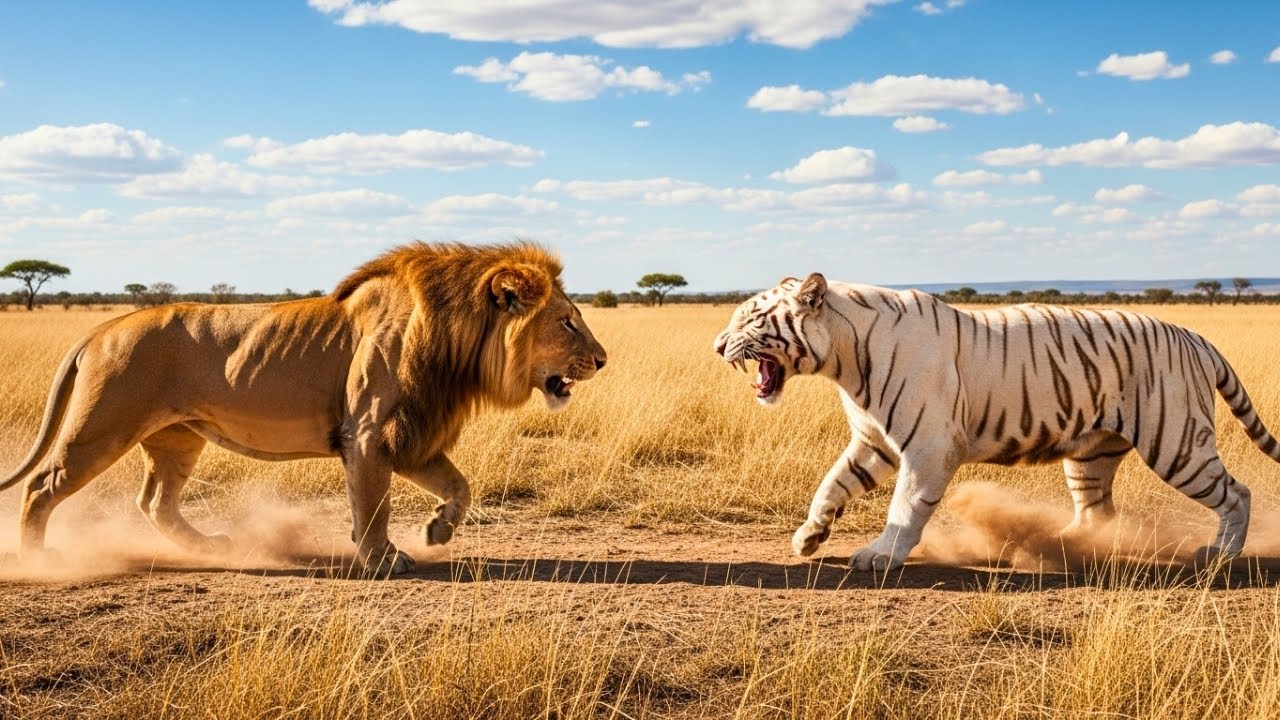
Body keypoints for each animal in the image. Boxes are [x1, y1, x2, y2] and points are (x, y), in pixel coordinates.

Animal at [0, 241, 607, 576]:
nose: (602, 360)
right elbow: (375, 505)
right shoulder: (370, 432)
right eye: (567, 322)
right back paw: (39, 561)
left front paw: (436, 532)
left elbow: (460, 486)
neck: (458, 343)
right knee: (41, 486)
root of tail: (102, 328)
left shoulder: (409, 435)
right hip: (101, 428)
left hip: (178, 438)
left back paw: (214, 547)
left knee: (155, 502)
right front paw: (384, 561)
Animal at [713, 273, 1279, 571]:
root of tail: (1196, 337)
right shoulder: (874, 442)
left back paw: (1221, 553)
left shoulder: (927, 446)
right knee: (1096, 512)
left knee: (1237, 492)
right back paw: (1055, 543)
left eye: (750, 319)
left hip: (1177, 442)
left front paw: (881, 555)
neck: (843, 360)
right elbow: (830, 485)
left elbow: (904, 505)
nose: (717, 346)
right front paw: (809, 537)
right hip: (1091, 455)